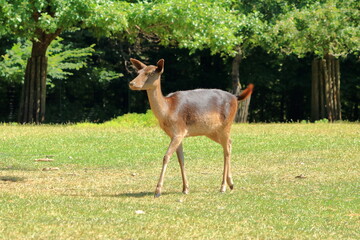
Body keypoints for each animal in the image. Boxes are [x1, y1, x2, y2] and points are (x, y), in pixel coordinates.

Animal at [129, 58, 253, 197]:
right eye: (138, 72)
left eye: (150, 73)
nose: (132, 83)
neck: (167, 111)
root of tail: (236, 98)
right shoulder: (176, 135)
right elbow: (181, 159)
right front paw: (185, 188)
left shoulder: (178, 131)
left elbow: (166, 157)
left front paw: (158, 191)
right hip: (211, 131)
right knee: (229, 143)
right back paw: (231, 183)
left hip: (227, 124)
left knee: (226, 149)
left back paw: (223, 186)